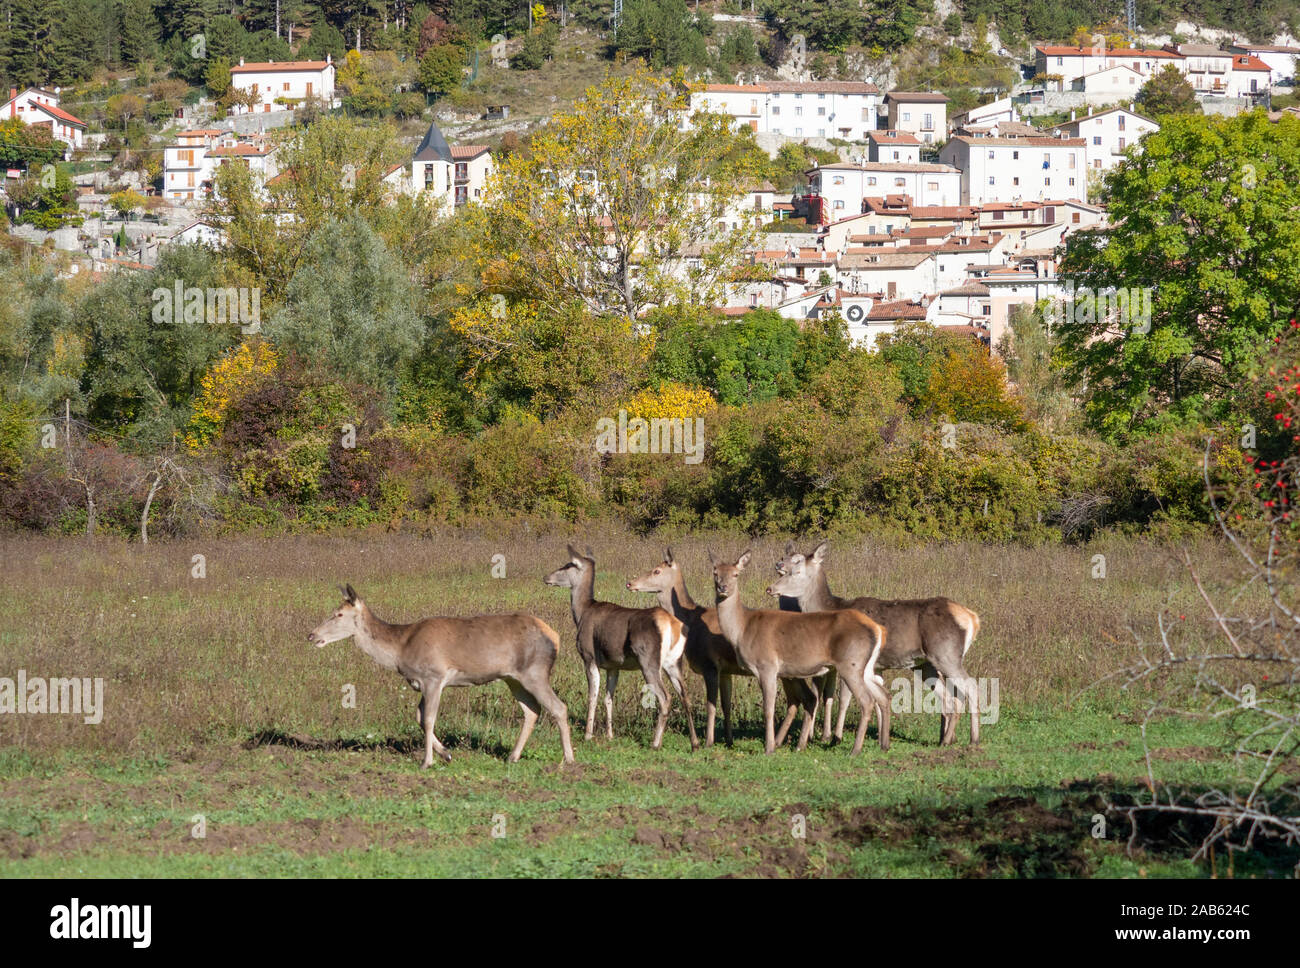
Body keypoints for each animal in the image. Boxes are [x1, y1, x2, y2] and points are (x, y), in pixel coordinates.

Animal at [306, 584, 572, 764]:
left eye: (338, 614)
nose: (311, 635)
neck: (401, 649)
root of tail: (556, 636)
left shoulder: (434, 676)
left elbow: (429, 718)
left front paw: (427, 761)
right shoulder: (421, 682)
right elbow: (418, 717)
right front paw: (446, 753)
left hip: (535, 672)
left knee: (559, 707)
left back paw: (568, 760)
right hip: (513, 678)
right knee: (532, 710)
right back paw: (513, 756)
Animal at [543, 543, 702, 748]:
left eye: (568, 565)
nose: (546, 577)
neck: (581, 614)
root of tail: (672, 624)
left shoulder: (589, 656)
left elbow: (592, 696)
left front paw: (588, 735)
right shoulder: (613, 665)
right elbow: (608, 698)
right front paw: (610, 735)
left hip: (648, 659)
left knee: (665, 697)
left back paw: (655, 743)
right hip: (674, 661)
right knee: (684, 694)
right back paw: (695, 742)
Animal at [624, 543, 816, 748]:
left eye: (656, 570)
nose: (630, 583)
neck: (691, 622)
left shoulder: (709, 664)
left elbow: (711, 705)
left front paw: (708, 741)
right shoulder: (726, 670)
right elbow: (726, 704)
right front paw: (729, 740)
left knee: (808, 698)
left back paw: (797, 744)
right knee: (797, 700)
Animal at [707, 550, 889, 753]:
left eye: (736, 574)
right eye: (715, 572)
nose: (722, 587)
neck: (742, 629)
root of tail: (878, 629)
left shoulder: (767, 665)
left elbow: (768, 709)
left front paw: (769, 748)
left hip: (851, 663)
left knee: (867, 700)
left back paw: (855, 750)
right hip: (866, 667)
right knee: (883, 695)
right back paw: (884, 745)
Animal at [764, 540, 977, 743]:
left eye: (797, 568)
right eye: (784, 557)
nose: (770, 587)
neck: (831, 607)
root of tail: (971, 618)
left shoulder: (850, 660)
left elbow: (844, 699)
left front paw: (836, 737)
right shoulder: (875, 666)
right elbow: (875, 698)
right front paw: (880, 737)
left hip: (946, 654)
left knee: (970, 687)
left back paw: (970, 739)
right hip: (926, 664)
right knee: (949, 696)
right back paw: (946, 739)